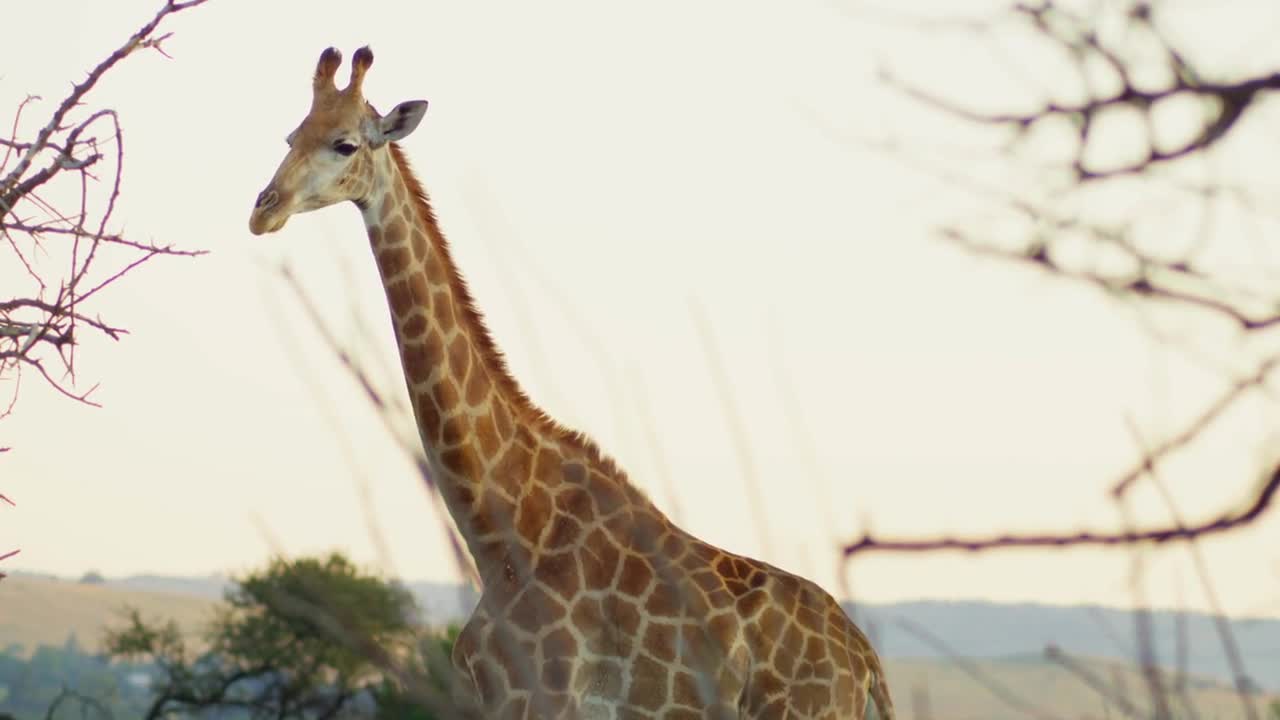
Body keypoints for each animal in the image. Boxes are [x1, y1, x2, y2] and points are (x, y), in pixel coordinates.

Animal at [247, 46, 890, 717]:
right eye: (292, 135)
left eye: (345, 144)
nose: (264, 209)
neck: (498, 529)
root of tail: (864, 661)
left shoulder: (539, 696)